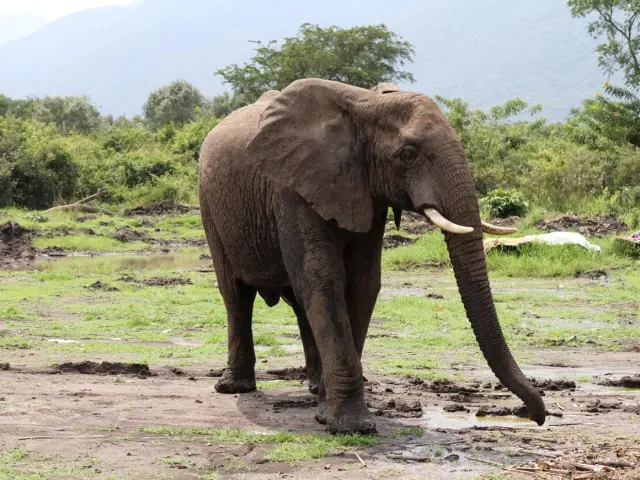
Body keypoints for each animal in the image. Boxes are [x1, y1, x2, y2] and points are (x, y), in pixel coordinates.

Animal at [197, 78, 544, 434]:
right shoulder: (291, 188)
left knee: (298, 303)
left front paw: (327, 413)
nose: (534, 416)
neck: (364, 104)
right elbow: (322, 278)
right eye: (408, 155)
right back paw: (234, 388)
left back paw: (313, 388)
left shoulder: (367, 193)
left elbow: (362, 283)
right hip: (210, 207)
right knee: (235, 294)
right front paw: (351, 427)